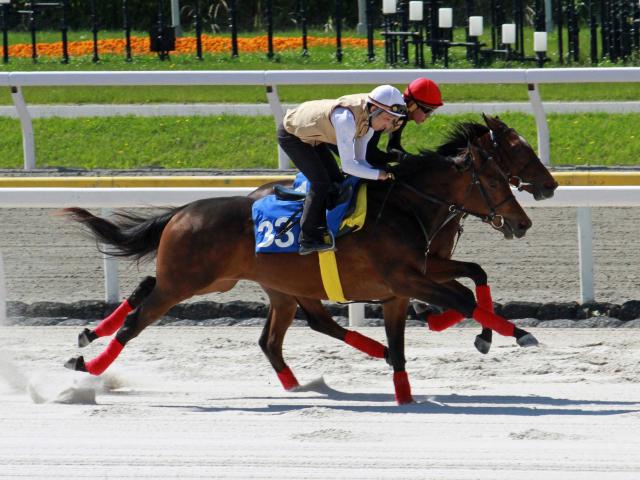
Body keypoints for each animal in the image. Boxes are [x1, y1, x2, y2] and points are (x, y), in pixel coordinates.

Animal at [63, 140, 536, 404]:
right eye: (496, 182)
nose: (523, 222)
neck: (403, 207)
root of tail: (182, 211)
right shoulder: (406, 278)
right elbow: (464, 299)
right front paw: (514, 334)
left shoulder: (408, 283)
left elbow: (467, 284)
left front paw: (406, 393)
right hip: (185, 283)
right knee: (136, 320)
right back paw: (86, 366)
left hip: (247, 283)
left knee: (271, 338)